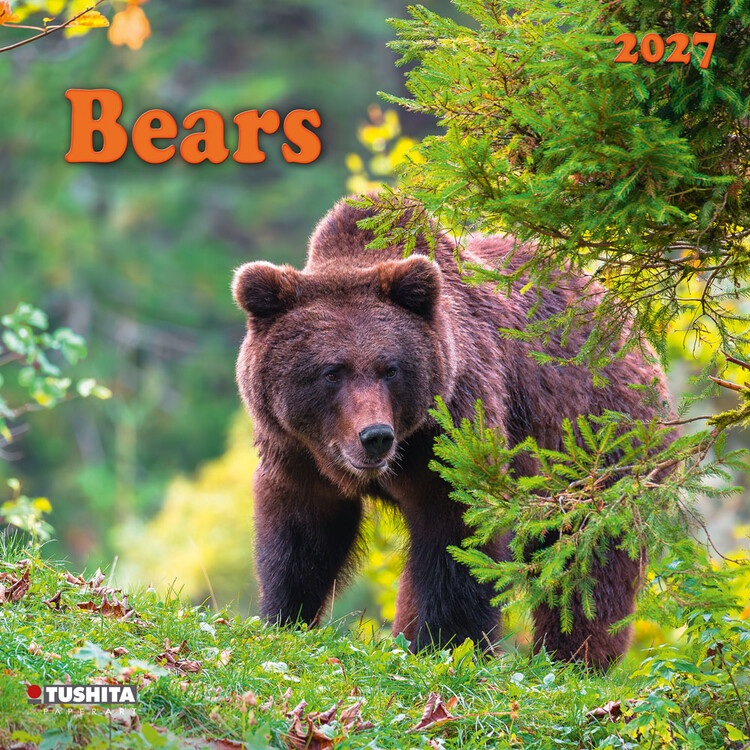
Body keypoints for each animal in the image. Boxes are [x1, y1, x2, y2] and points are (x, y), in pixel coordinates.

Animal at [232, 194, 673, 669]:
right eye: (332, 372)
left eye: (390, 369)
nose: (375, 436)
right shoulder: (296, 450)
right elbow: (300, 535)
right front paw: (284, 617)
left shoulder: (458, 430)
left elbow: (456, 536)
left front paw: (446, 641)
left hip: (597, 446)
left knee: (588, 560)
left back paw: (572, 657)